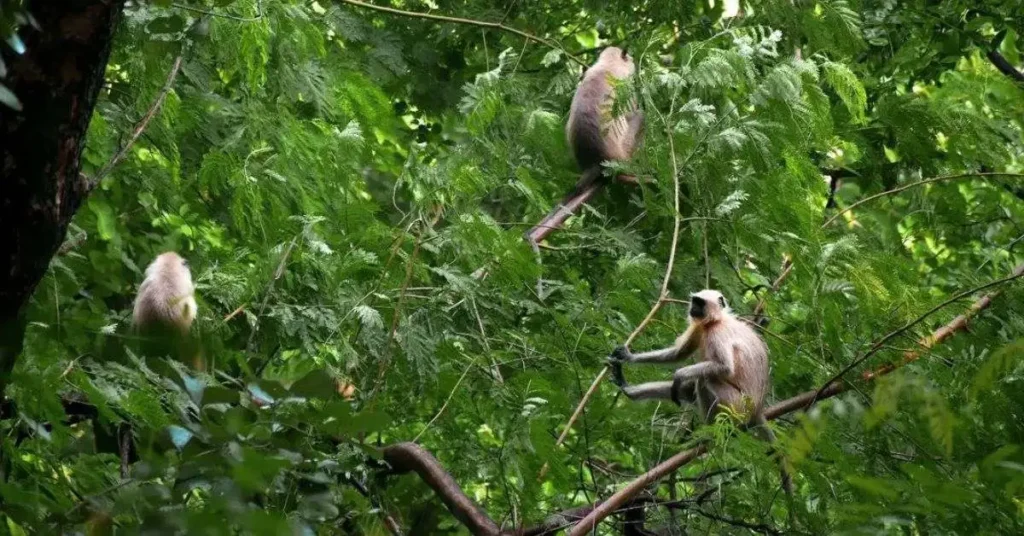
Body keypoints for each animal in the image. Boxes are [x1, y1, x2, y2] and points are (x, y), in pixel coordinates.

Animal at [524, 47, 643, 246]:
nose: (634, 61)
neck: (607, 66)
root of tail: (593, 162)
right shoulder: (625, 87)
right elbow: (631, 111)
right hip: (624, 152)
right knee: (640, 116)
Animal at [602, 291, 794, 498]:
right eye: (694, 301)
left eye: (700, 303)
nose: (693, 308)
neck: (715, 320)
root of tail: (757, 408)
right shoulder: (700, 327)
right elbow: (678, 354)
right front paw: (627, 356)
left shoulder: (718, 333)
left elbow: (724, 368)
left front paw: (678, 374)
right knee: (687, 387)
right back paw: (629, 390)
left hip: (737, 405)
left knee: (703, 380)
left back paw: (710, 435)